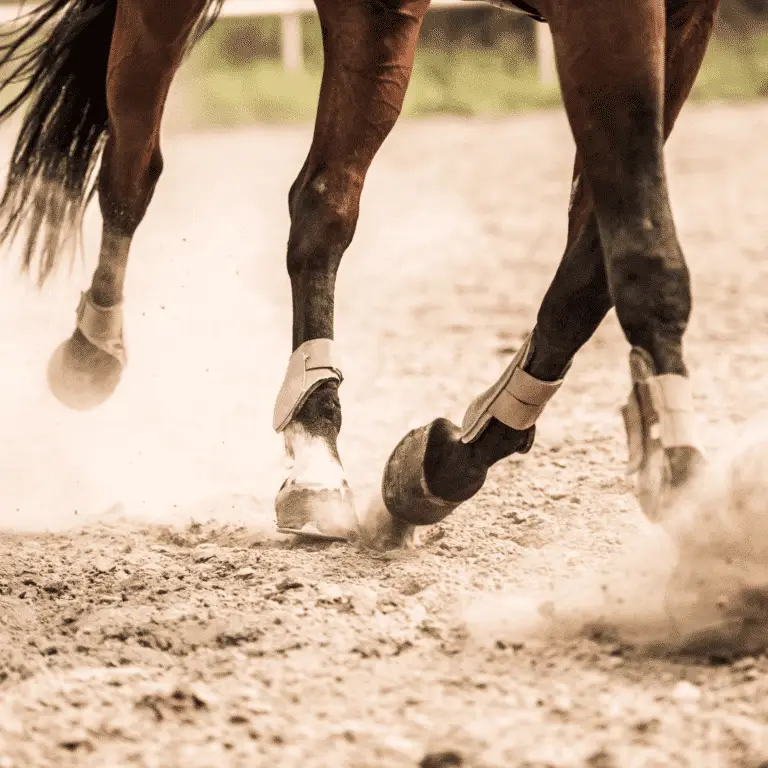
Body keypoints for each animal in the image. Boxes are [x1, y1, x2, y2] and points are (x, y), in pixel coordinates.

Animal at [0, 0, 716, 544]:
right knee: (142, 165)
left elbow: (602, 266)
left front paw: (452, 459)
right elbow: (325, 204)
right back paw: (97, 353)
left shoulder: (679, 24)